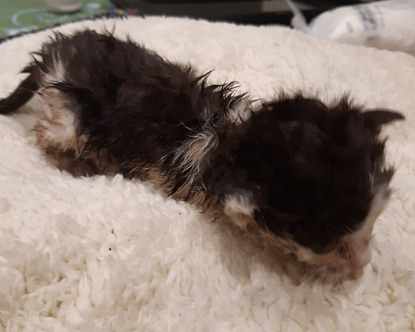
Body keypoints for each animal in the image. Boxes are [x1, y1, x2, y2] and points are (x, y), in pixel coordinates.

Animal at [0, 30, 404, 280]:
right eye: (330, 245)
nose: (364, 265)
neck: (232, 136)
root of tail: (53, 54)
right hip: (68, 114)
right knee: (47, 133)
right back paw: (71, 162)